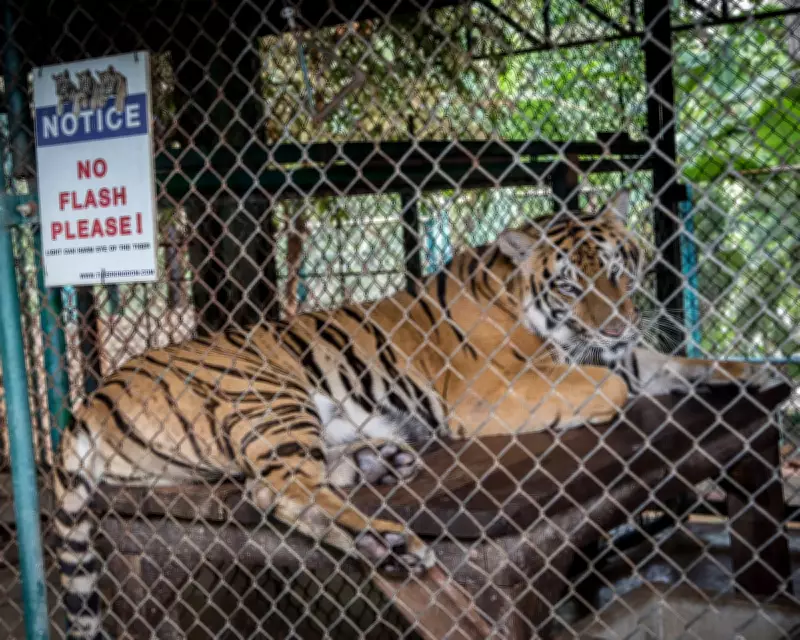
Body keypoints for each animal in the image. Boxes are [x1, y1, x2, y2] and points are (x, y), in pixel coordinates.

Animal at [55, 190, 784, 639]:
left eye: (618, 271)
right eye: (571, 284)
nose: (615, 324)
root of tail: (91, 397)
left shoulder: (633, 353)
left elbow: (682, 363)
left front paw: (761, 372)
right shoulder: (488, 393)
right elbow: (608, 385)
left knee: (283, 482)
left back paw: (381, 464)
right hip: (268, 389)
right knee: (275, 490)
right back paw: (390, 539)